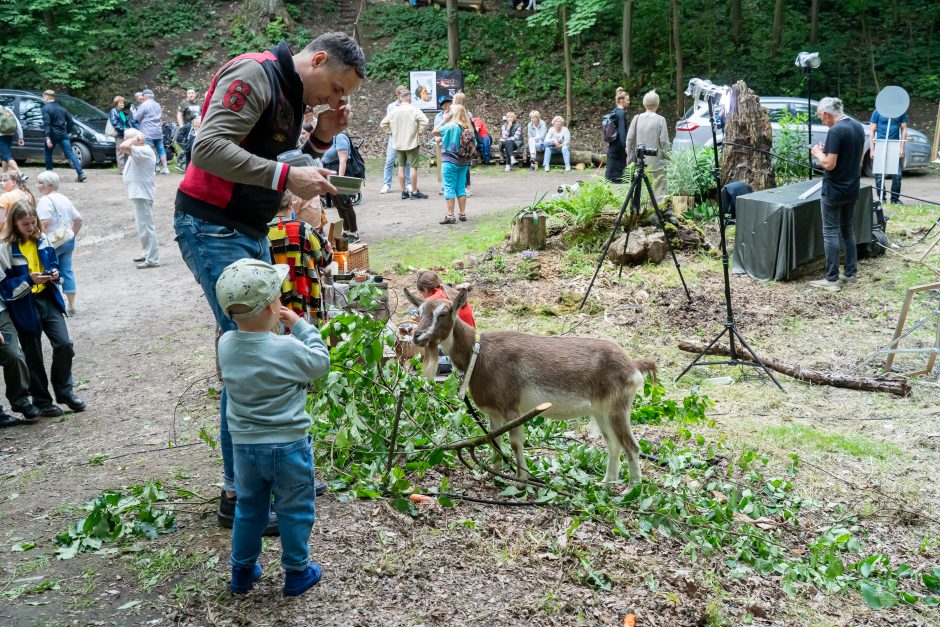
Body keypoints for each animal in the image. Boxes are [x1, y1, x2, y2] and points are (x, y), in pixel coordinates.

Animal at [408, 288, 656, 484]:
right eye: (419, 312)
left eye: (443, 313)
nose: (417, 336)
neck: (479, 354)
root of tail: (633, 365)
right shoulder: (493, 410)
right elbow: (494, 440)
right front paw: (493, 473)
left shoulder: (511, 406)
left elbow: (516, 443)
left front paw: (521, 479)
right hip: (601, 411)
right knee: (614, 444)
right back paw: (605, 484)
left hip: (618, 407)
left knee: (631, 446)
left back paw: (632, 490)